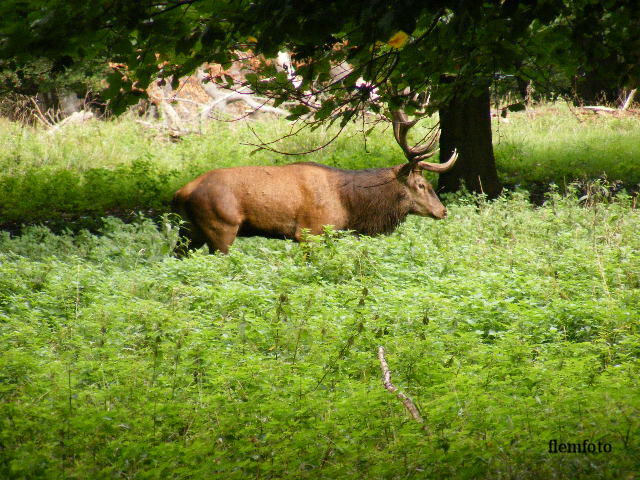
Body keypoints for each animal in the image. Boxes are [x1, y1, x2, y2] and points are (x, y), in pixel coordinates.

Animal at [172, 111, 458, 255]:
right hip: (221, 226)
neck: (349, 205)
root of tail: (181, 192)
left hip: (189, 230)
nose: (443, 211)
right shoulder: (311, 232)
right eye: (421, 185)